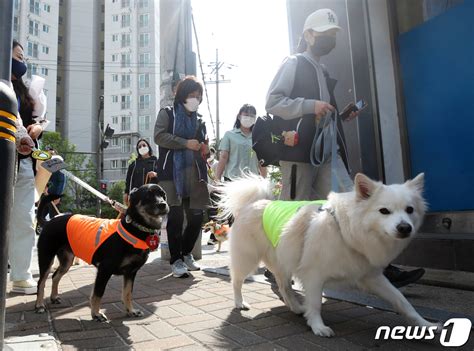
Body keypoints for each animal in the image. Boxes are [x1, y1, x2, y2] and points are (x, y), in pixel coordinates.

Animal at [34, 184, 168, 322]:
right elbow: (98, 293)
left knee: (55, 276)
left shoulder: (131, 272)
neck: (135, 229)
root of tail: (49, 221)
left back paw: (54, 297)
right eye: (148, 195)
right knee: (41, 282)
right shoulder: (104, 269)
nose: (163, 204)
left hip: (67, 261)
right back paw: (39, 305)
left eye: (163, 195)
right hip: (46, 257)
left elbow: (127, 293)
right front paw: (96, 314)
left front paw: (131, 311)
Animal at [218, 173, 436, 338]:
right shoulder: (313, 275)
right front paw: (318, 327)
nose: (405, 228)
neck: (345, 231)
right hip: (248, 259)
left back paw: (296, 307)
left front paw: (425, 324)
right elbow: (315, 303)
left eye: (410, 210)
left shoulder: (372, 276)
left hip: (282, 261)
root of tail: (255, 203)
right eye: (384, 211)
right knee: (237, 281)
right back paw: (240, 303)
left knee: (283, 286)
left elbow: (402, 301)